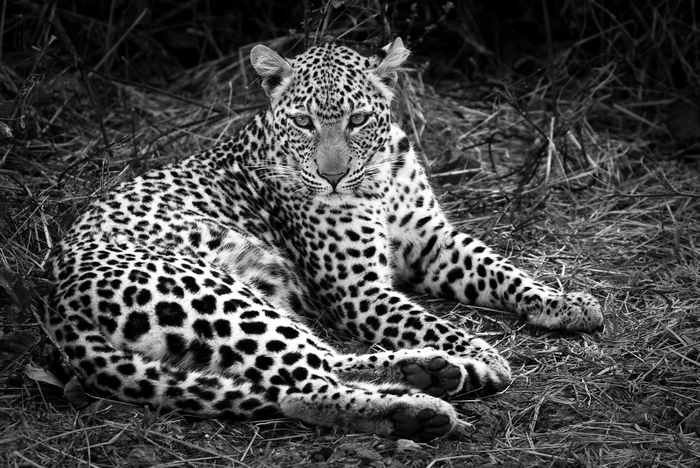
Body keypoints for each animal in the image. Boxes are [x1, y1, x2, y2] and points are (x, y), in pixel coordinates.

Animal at [38, 38, 603, 442]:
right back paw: (420, 408)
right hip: (214, 294)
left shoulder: (431, 243)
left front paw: (564, 303)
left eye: (358, 119)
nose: (332, 177)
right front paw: (488, 355)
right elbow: (429, 319)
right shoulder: (357, 288)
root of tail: (56, 299)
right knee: (299, 388)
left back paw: (431, 372)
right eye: (304, 122)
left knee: (321, 362)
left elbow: (499, 268)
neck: (378, 178)